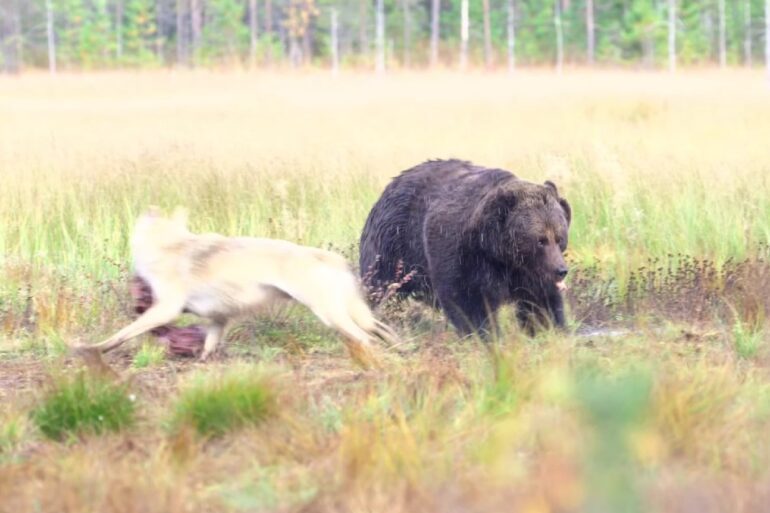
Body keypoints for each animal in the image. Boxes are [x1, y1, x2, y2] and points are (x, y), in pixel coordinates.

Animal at [76, 207, 398, 367]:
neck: (170, 245)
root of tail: (333, 258)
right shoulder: (219, 319)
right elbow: (208, 346)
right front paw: (205, 364)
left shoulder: (165, 310)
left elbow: (121, 334)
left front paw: (92, 349)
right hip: (356, 316)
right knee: (383, 331)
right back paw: (400, 350)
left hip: (332, 316)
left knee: (365, 340)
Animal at [359, 159, 572, 337]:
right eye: (541, 240)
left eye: (559, 238)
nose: (561, 270)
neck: (497, 251)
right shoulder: (460, 251)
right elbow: (467, 301)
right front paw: (485, 335)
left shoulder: (529, 271)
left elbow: (540, 302)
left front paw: (549, 330)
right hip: (394, 245)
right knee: (381, 287)